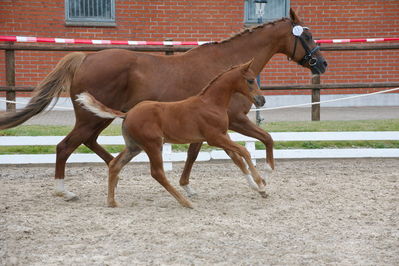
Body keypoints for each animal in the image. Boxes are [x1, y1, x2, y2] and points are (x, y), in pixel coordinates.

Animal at [76, 60, 268, 208]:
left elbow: (237, 157)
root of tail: (128, 113)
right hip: (153, 144)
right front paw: (261, 184)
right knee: (157, 173)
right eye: (250, 80)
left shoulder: (221, 136)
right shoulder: (215, 138)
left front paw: (259, 187)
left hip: (134, 147)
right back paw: (185, 202)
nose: (262, 100)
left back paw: (112, 202)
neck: (211, 103)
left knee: (115, 164)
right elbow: (245, 152)